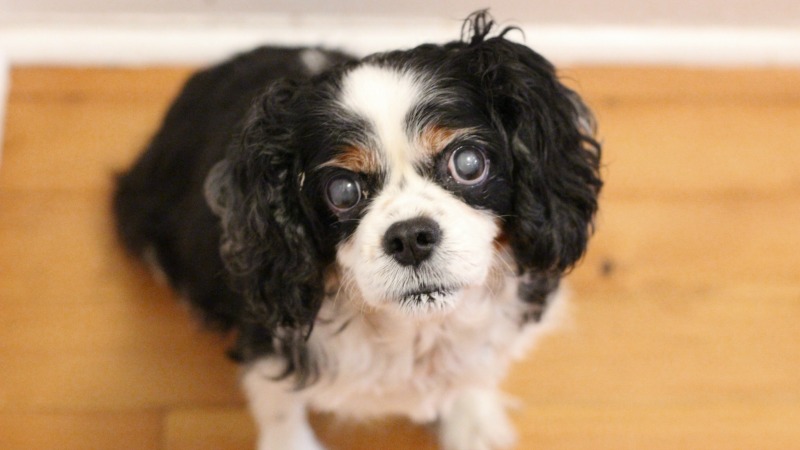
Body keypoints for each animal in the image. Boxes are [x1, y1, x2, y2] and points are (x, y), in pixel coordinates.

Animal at [111, 10, 600, 450]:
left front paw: (473, 423)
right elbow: (279, 406)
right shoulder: (270, 341)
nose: (410, 237)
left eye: (468, 162)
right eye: (342, 190)